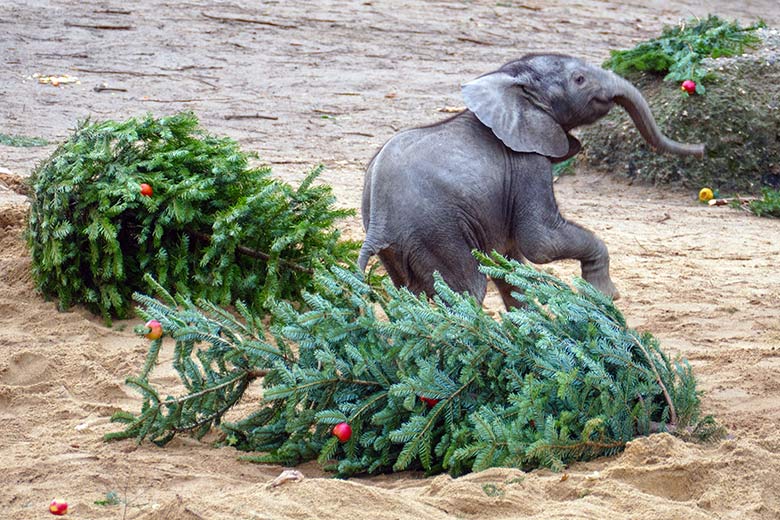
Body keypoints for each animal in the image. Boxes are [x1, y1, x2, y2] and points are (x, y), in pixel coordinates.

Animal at [360, 53, 708, 308]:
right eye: (579, 80)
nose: (703, 148)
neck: (509, 81)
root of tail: (379, 220)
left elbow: (505, 261)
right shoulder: (526, 163)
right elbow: (541, 241)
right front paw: (604, 296)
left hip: (402, 246)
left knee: (412, 295)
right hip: (437, 232)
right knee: (467, 290)